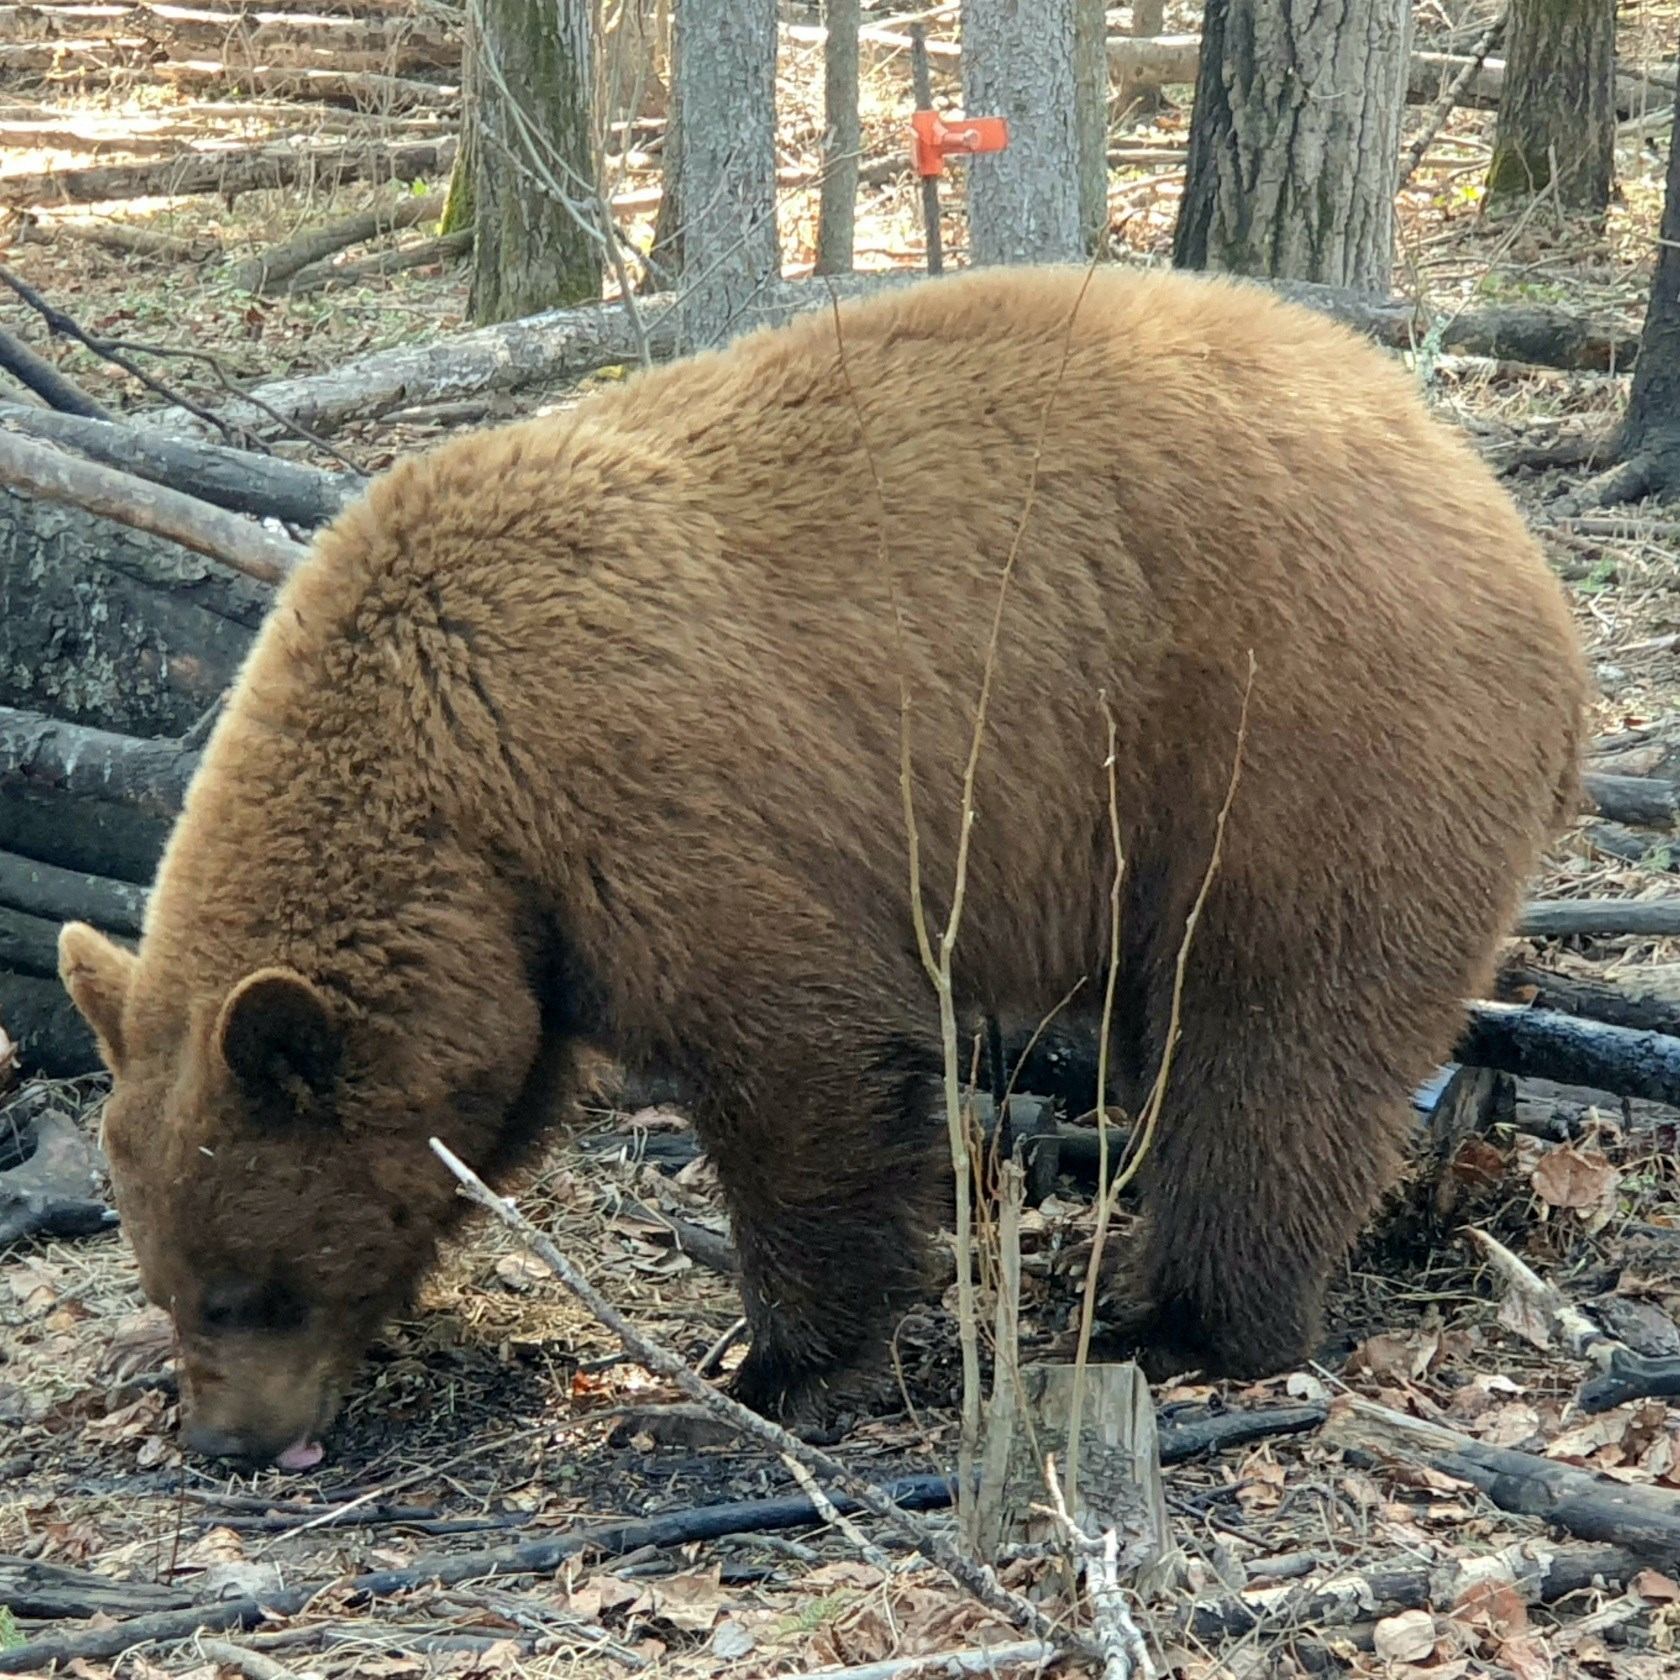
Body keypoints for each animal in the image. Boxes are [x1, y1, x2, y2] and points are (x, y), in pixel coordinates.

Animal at [58, 264, 1587, 1469]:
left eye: (243, 1290)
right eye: (169, 1274)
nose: (227, 1440)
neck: (458, 787)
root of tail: (1506, 523)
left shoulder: (665, 801)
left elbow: (806, 1067)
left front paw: (775, 1368)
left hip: (1295, 743)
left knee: (1272, 1041)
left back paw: (1191, 1321)